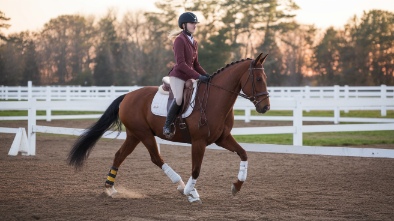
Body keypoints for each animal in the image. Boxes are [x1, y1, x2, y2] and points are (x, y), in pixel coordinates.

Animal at [68, 52, 270, 204]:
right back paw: (181, 185)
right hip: (144, 134)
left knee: (119, 155)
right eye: (259, 79)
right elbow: (196, 169)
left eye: (265, 78)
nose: (265, 107)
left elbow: (243, 153)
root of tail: (127, 96)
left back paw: (109, 189)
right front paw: (191, 193)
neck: (215, 99)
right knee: (156, 158)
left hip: (134, 135)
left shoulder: (222, 138)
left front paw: (236, 186)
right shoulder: (199, 141)